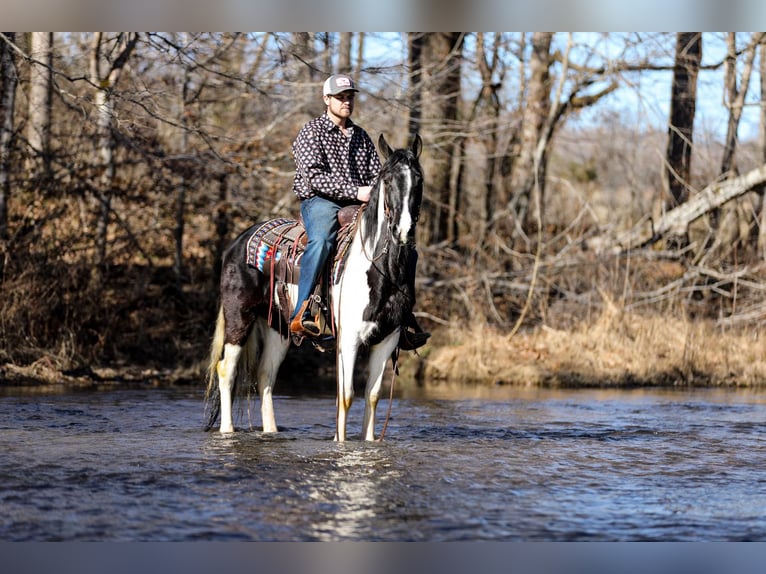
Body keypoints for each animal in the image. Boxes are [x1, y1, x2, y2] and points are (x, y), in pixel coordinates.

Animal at [204, 134, 426, 440]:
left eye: (418, 179)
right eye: (388, 179)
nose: (402, 231)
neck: (381, 269)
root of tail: (237, 243)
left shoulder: (387, 338)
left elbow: (372, 396)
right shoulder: (349, 339)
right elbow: (346, 396)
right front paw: (340, 442)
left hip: (278, 328)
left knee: (265, 376)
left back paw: (271, 432)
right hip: (239, 318)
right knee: (227, 370)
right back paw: (227, 431)